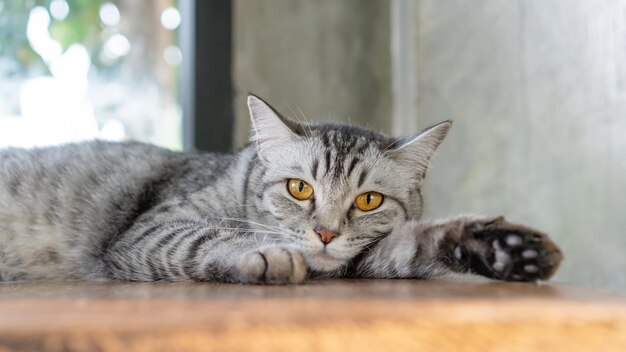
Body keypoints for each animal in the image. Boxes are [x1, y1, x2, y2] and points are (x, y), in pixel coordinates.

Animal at [0, 94, 560, 284]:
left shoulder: (364, 259)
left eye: (369, 200)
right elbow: (205, 238)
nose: (327, 234)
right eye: (298, 188)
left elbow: (416, 242)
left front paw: (503, 248)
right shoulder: (149, 230)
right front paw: (264, 254)